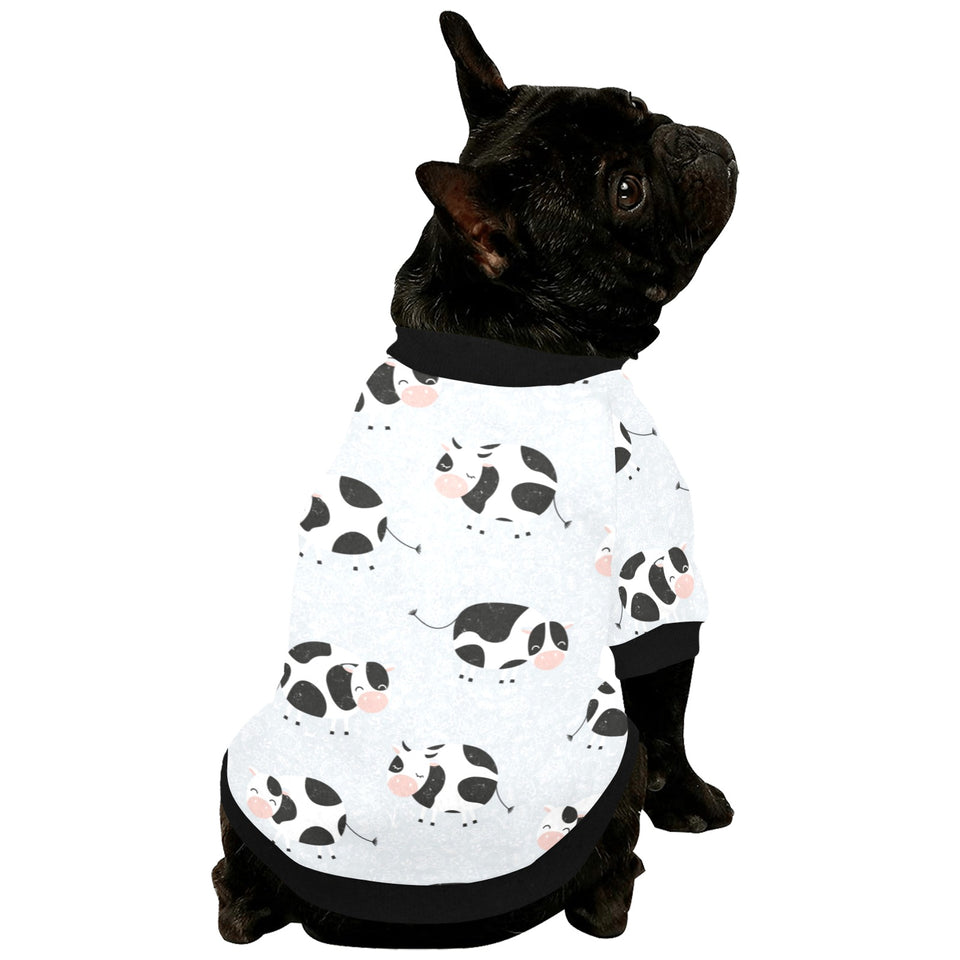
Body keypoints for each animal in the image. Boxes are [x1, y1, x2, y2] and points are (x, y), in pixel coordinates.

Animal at [243, 768, 376, 859]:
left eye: (273, 801)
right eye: (253, 790)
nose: (258, 804)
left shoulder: (285, 825)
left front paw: (278, 843)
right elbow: (284, 836)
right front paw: (284, 846)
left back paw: (328, 856)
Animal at [386, 742, 514, 827]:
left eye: (420, 775)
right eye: (396, 767)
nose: (403, 780)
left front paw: (431, 823)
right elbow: (424, 810)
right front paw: (422, 820)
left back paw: (468, 822)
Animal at [409, 602, 572, 683]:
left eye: (562, 644)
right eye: (535, 647)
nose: (552, 656)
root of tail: (459, 615)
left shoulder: (515, 659)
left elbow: (511, 669)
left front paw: (508, 680)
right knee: (469, 662)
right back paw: (466, 677)